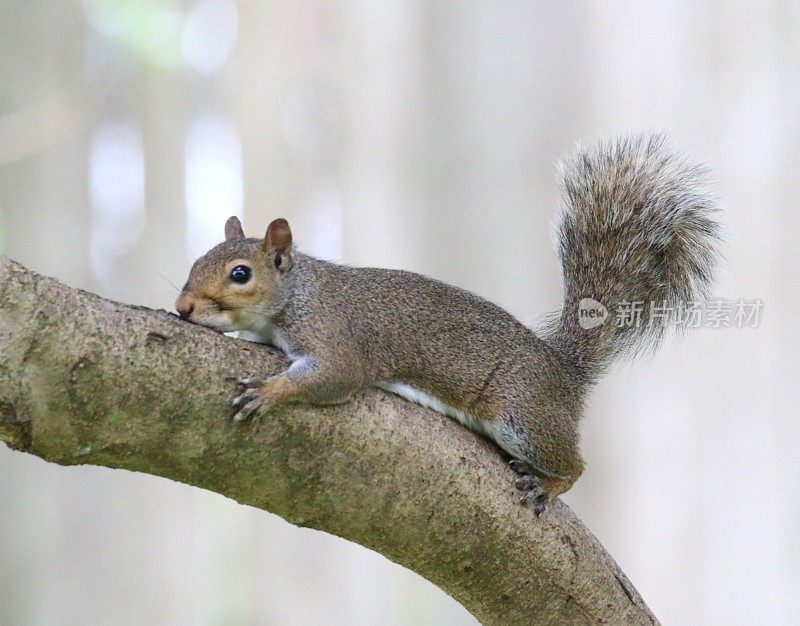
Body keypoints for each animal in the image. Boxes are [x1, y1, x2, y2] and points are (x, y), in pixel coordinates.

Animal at [177, 132, 724, 512]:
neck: (297, 294)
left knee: (575, 465)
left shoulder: (337, 337)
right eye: (197, 258)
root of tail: (564, 371)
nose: (183, 308)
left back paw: (549, 483)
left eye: (240, 274)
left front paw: (270, 391)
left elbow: (335, 376)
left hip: (522, 412)